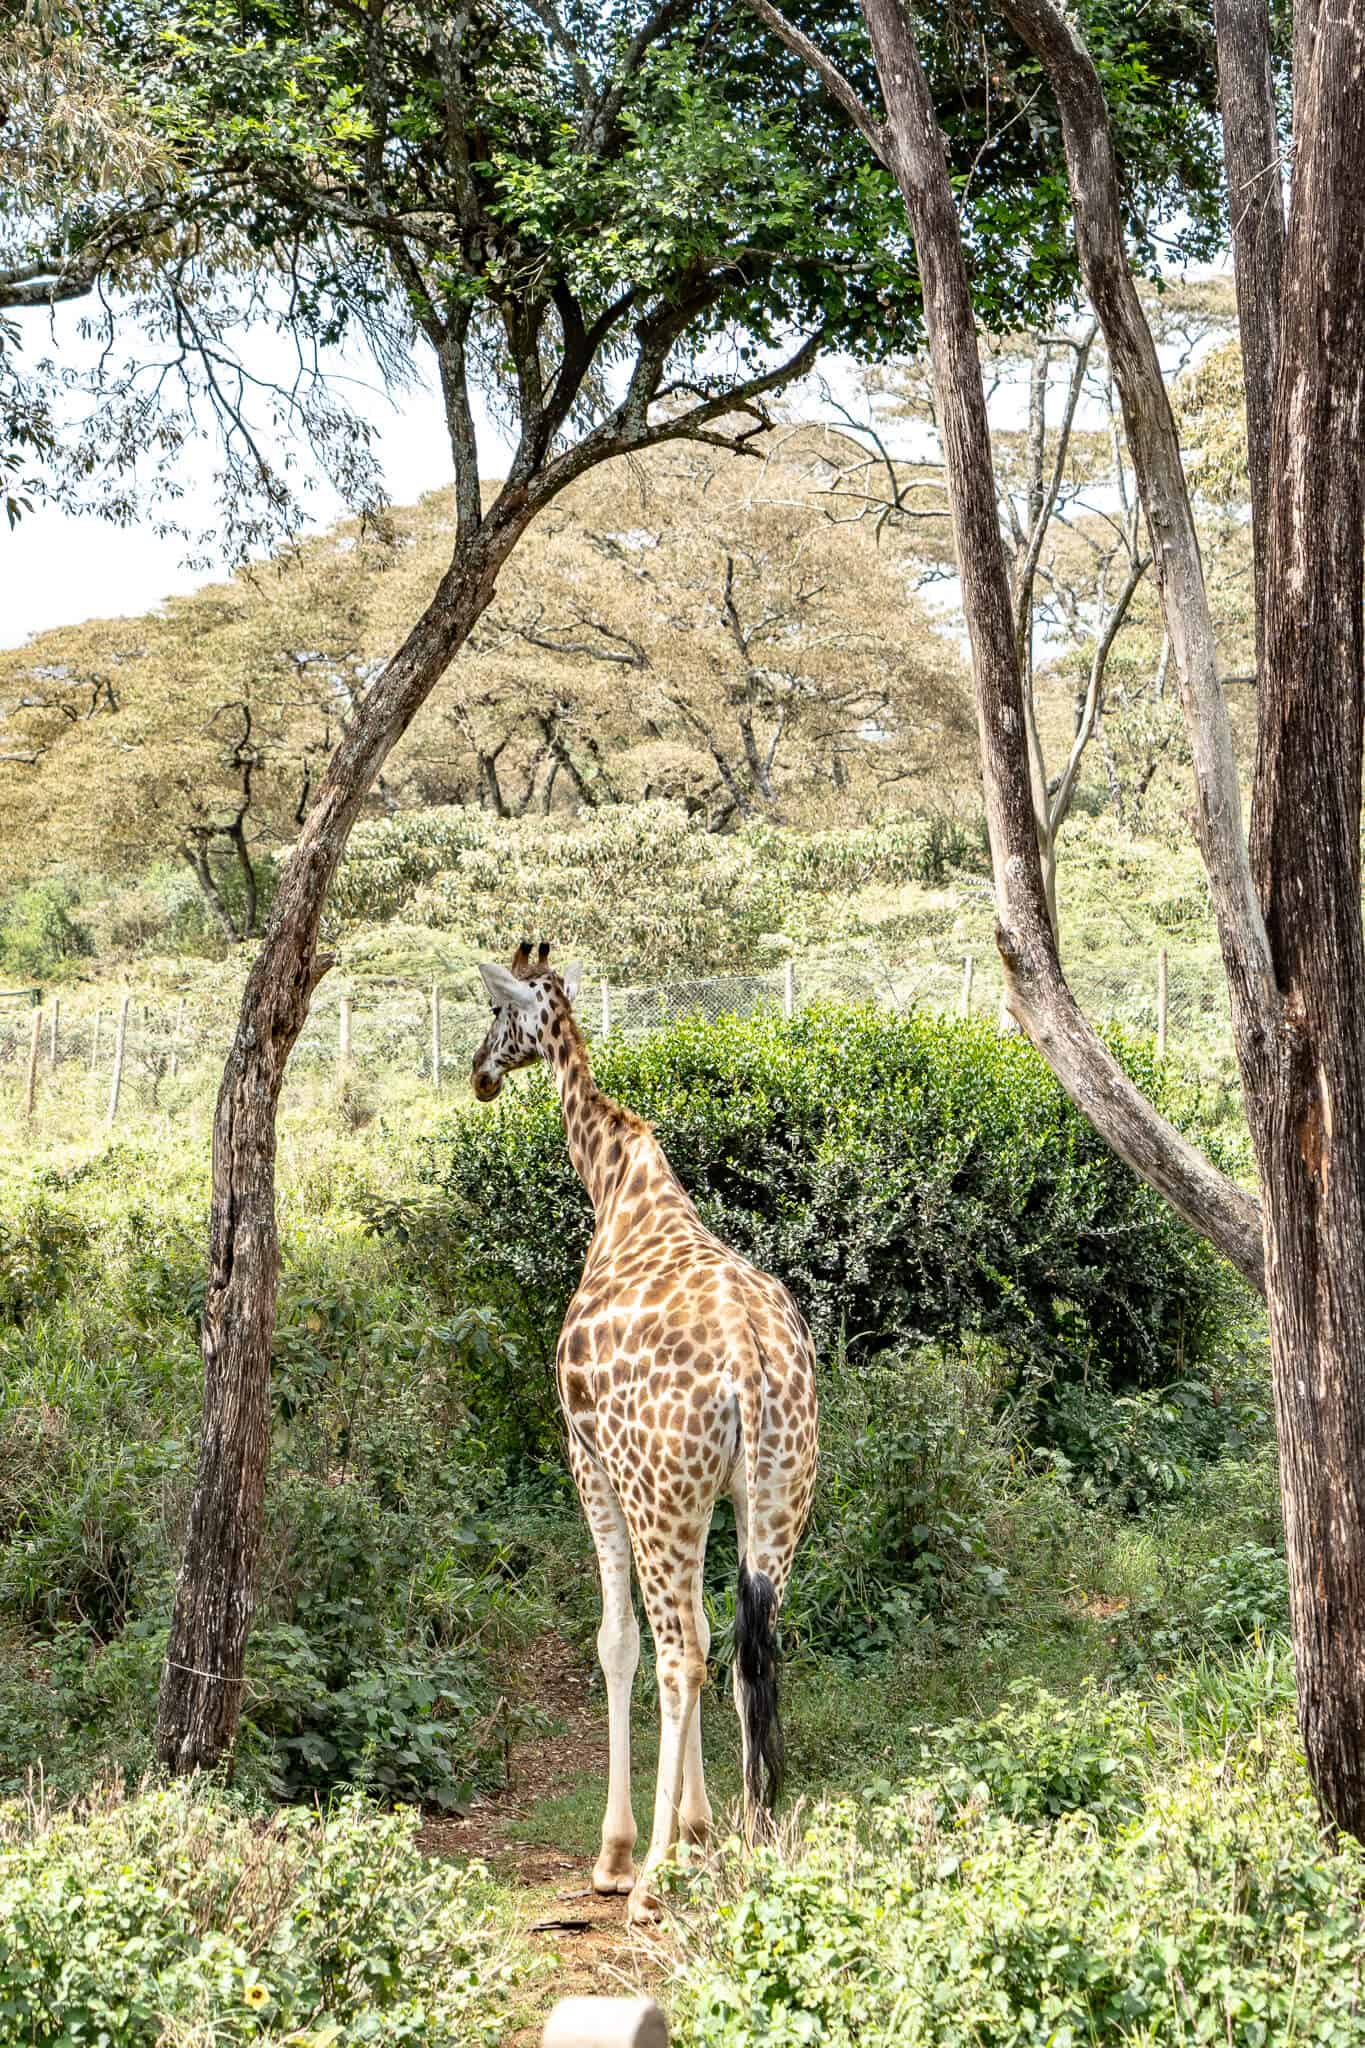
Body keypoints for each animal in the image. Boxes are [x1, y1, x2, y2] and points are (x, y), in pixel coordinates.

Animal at [471, 942, 819, 1924]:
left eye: (497, 1013)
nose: (478, 1074)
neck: (617, 1186)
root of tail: (749, 1370)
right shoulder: (708, 1497)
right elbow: (708, 1631)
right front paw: (702, 1831)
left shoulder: (588, 1461)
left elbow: (616, 1643)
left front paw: (625, 1851)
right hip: (777, 1497)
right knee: (745, 1648)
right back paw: (755, 1835)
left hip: (663, 1495)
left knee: (678, 1654)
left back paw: (651, 1876)